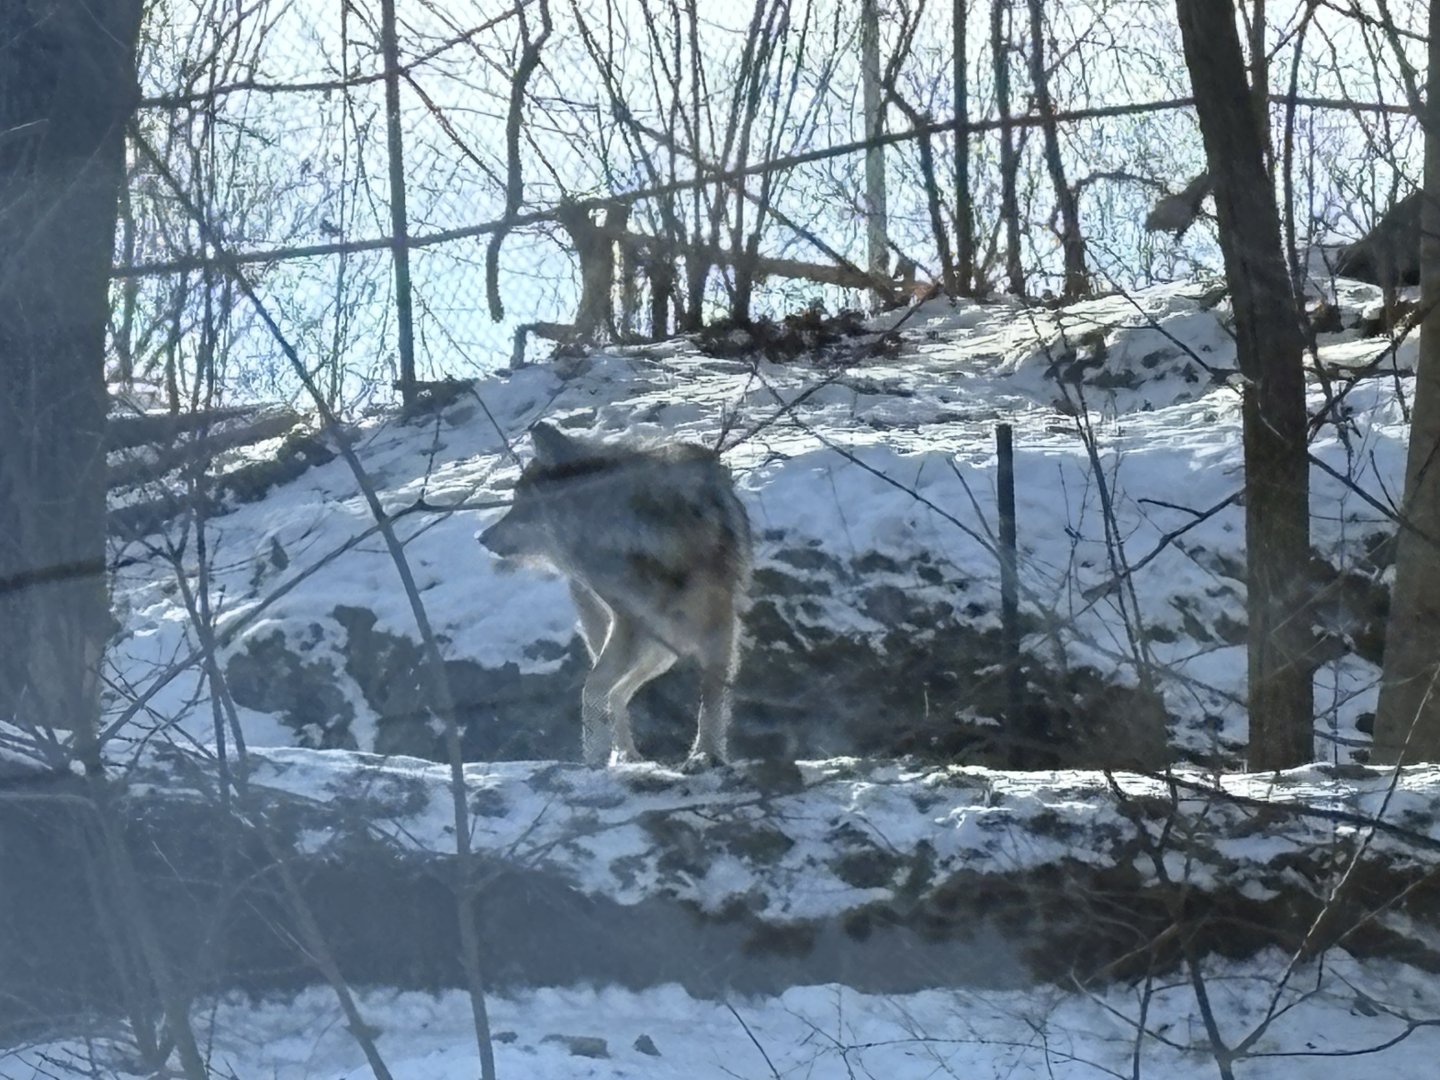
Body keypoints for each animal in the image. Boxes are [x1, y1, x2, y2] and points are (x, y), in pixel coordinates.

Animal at [478, 423, 752, 770]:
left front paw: (706, 754)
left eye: (519, 504)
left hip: (661, 649)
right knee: (615, 692)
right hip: (642, 642)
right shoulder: (628, 622)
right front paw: (594, 756)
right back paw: (625, 754)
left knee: (619, 691)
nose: (481, 537)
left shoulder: (719, 622)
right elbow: (593, 689)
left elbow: (712, 699)